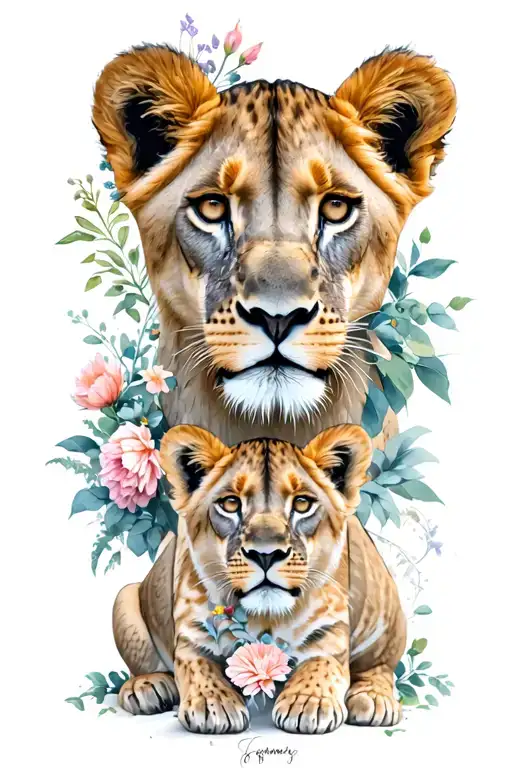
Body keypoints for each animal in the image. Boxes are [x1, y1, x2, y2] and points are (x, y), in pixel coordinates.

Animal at [112, 423, 406, 734]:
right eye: (230, 504)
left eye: (302, 504)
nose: (266, 554)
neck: (265, 619)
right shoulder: (192, 636)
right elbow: (197, 668)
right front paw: (214, 704)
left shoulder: (330, 633)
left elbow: (322, 665)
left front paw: (307, 702)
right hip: (125, 598)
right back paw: (148, 686)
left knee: (379, 667)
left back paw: (373, 698)